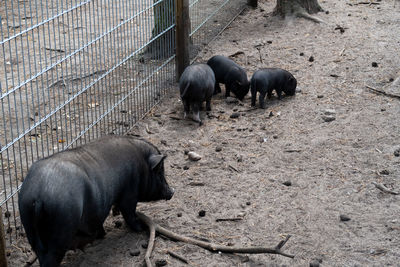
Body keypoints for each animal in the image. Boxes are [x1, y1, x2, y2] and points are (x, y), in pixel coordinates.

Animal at [18, 136, 173, 267]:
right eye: (160, 172)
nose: (172, 191)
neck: (142, 165)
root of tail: (39, 195)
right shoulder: (129, 193)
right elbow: (129, 213)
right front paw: (140, 228)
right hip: (61, 224)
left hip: (29, 224)